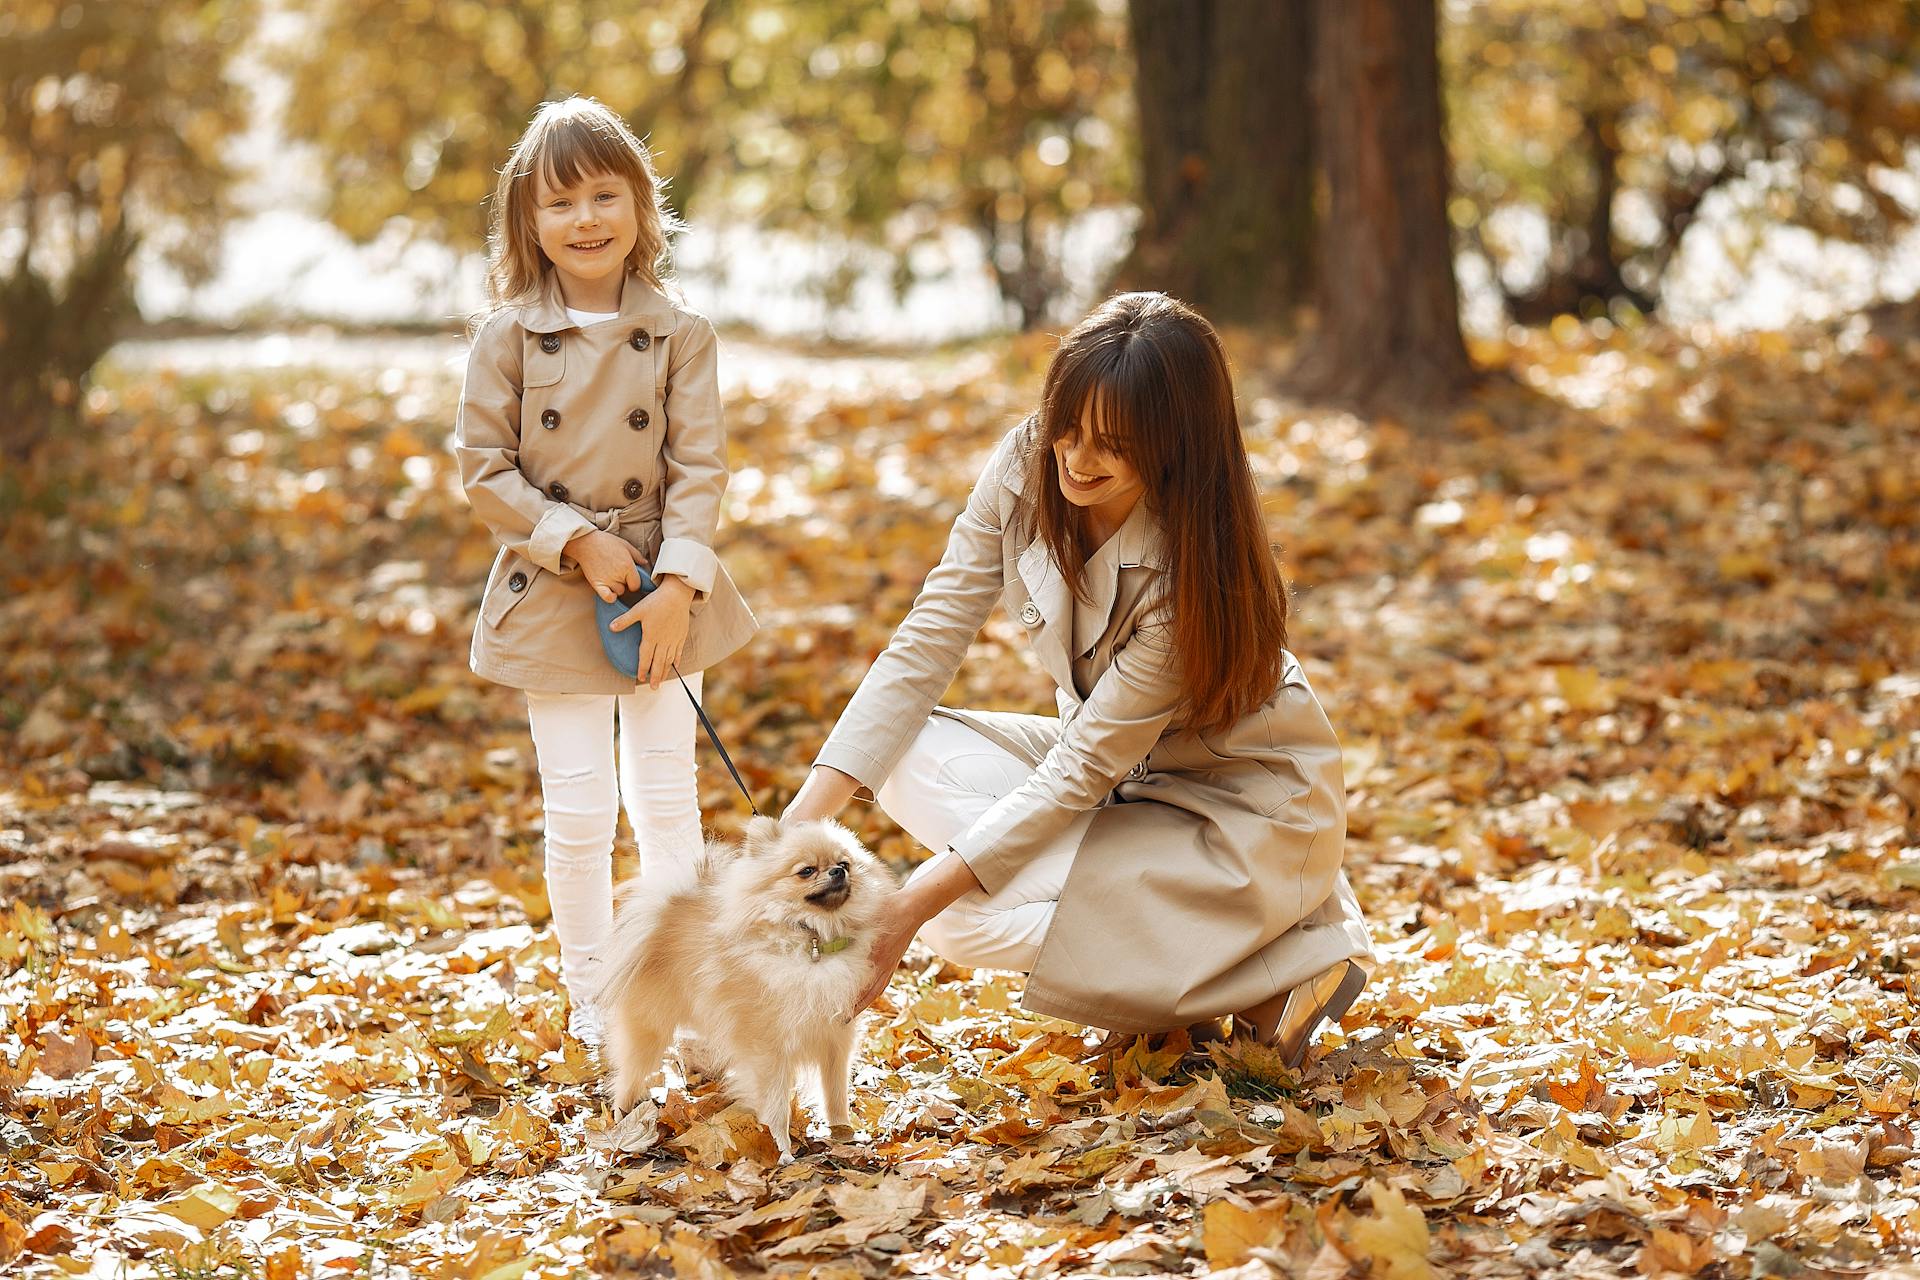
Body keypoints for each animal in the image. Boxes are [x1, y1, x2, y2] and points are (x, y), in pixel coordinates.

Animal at [595, 821, 894, 1159]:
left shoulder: (835, 1038)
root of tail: (663, 912)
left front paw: (843, 1135)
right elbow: (776, 1106)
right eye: (806, 871)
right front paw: (781, 1150)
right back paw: (622, 1123)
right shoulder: (767, 1048)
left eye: (845, 863)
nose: (837, 872)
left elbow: (835, 1094)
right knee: (627, 1077)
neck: (814, 943)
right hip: (649, 1029)